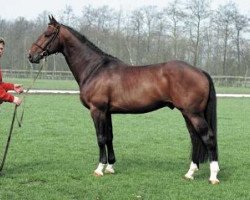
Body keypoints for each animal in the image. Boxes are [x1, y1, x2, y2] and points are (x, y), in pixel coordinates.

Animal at [28, 16, 219, 184]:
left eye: (47, 34)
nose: (31, 55)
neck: (95, 69)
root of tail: (200, 71)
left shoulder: (97, 110)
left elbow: (100, 138)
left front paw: (99, 168)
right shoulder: (107, 112)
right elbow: (109, 137)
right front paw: (110, 166)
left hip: (193, 113)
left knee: (208, 137)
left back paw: (213, 176)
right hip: (187, 114)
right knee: (195, 138)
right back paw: (190, 173)